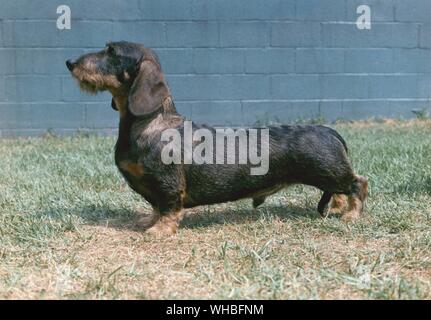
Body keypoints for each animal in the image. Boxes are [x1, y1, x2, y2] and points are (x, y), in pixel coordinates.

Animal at [66, 40, 370, 235]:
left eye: (111, 51)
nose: (69, 62)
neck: (151, 123)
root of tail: (328, 130)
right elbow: (154, 207)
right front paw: (147, 222)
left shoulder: (167, 185)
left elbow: (168, 208)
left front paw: (159, 230)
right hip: (327, 175)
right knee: (341, 190)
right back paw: (338, 208)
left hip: (328, 172)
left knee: (358, 183)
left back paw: (351, 215)